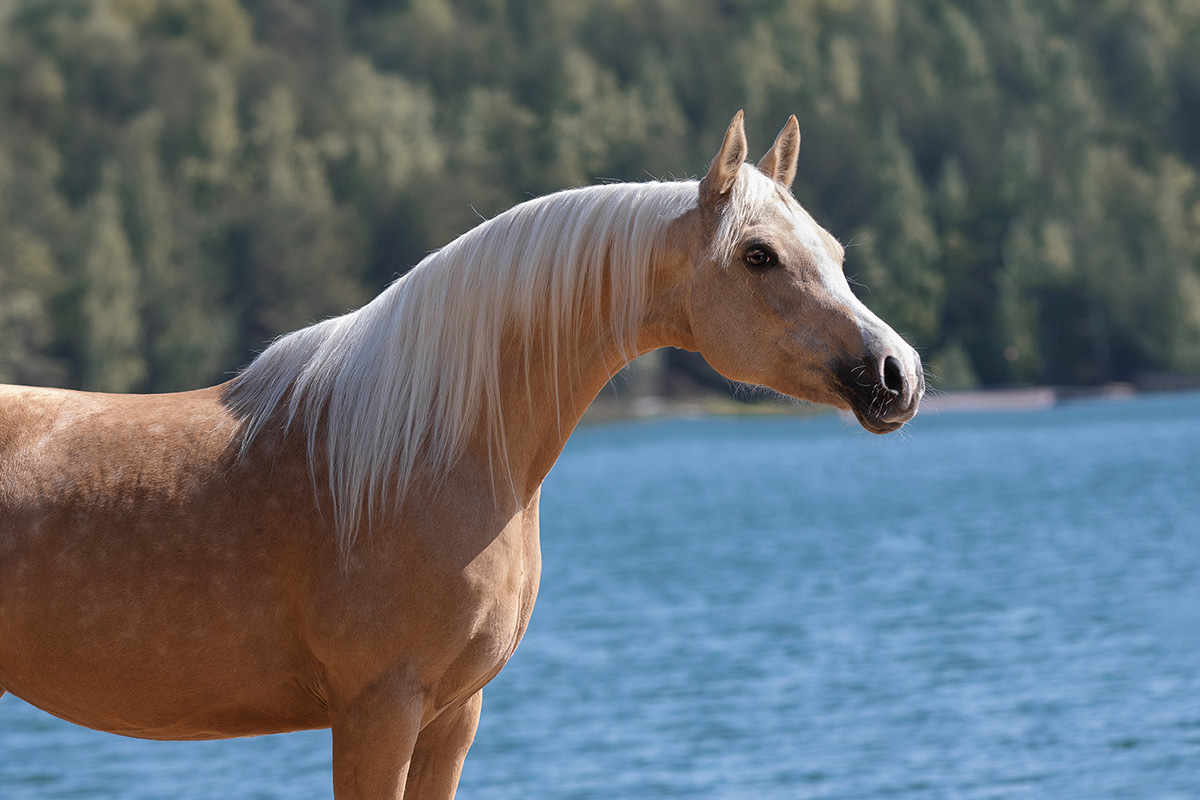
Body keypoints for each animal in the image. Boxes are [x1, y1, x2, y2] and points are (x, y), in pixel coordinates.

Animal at [0, 113, 921, 800]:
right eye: (758, 254)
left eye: (835, 251)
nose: (897, 374)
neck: (423, 457)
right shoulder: (377, 714)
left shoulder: (452, 718)